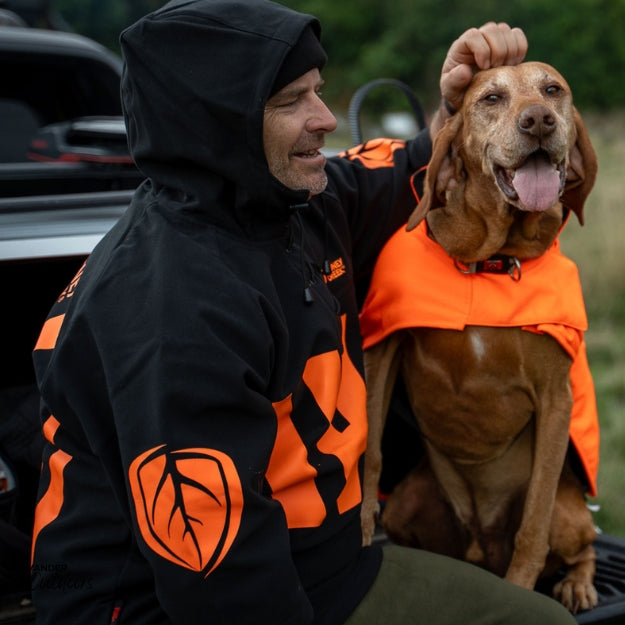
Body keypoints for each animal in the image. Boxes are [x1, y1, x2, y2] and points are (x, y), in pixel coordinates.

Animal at [360, 61, 600, 612]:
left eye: (553, 90)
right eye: (491, 98)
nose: (538, 121)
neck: (491, 261)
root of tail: (477, 548)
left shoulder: (556, 398)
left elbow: (533, 523)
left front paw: (520, 592)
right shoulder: (382, 350)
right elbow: (372, 453)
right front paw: (358, 533)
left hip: (570, 514)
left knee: (584, 546)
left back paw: (577, 583)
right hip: (408, 504)